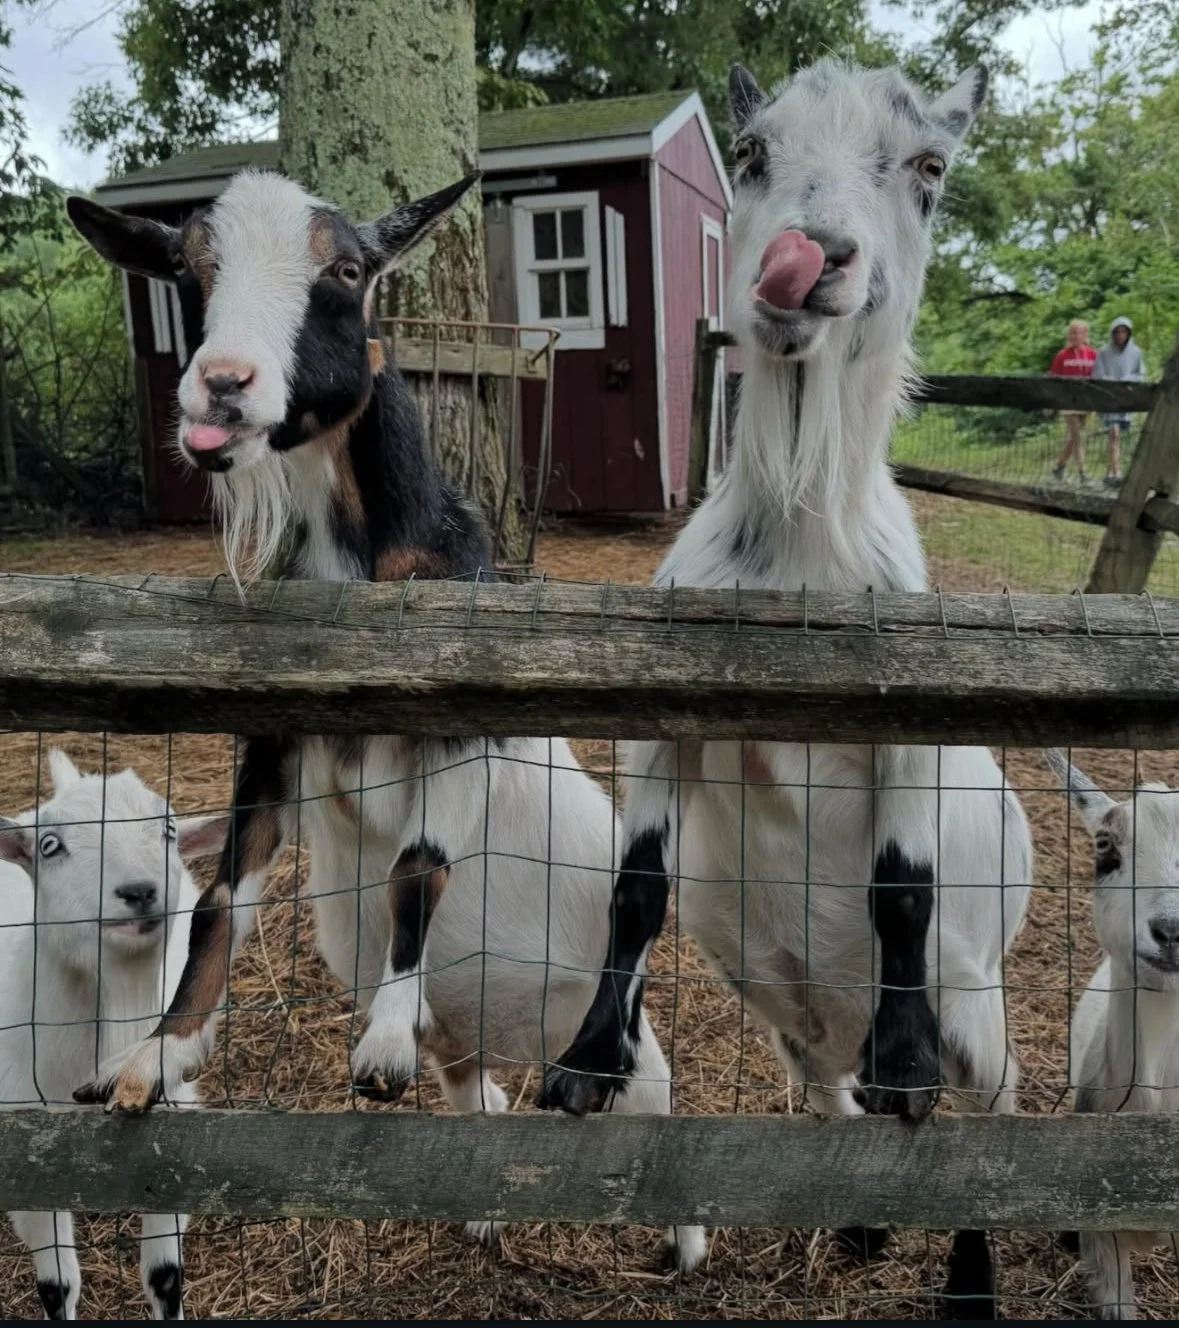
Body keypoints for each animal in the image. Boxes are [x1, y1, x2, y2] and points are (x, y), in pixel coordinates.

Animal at [0, 750, 226, 1320]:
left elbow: (165, 1276)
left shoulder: (171, 1123)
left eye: (169, 829)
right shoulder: (25, 1146)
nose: (140, 891)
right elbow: (57, 1284)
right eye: (49, 846)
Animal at [66, 173, 706, 1271]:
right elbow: (221, 899)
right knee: (478, 1092)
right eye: (188, 270)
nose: (221, 386)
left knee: (649, 1085)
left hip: (613, 1008)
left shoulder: (457, 719)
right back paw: (489, 1205)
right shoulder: (272, 738)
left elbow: (418, 864)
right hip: (478, 1032)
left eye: (349, 270)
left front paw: (377, 1041)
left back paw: (683, 1241)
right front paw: (155, 1056)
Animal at [537, 59, 1033, 1316]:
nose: (812, 257)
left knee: (995, 1122)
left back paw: (968, 1268)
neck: (803, 556)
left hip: (979, 998)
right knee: (822, 1091)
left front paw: (905, 1069)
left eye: (930, 165)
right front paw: (587, 1061)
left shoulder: (912, 726)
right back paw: (857, 1216)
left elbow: (900, 885)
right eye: (753, 151)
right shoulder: (666, 723)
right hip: (772, 990)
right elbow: (635, 887)